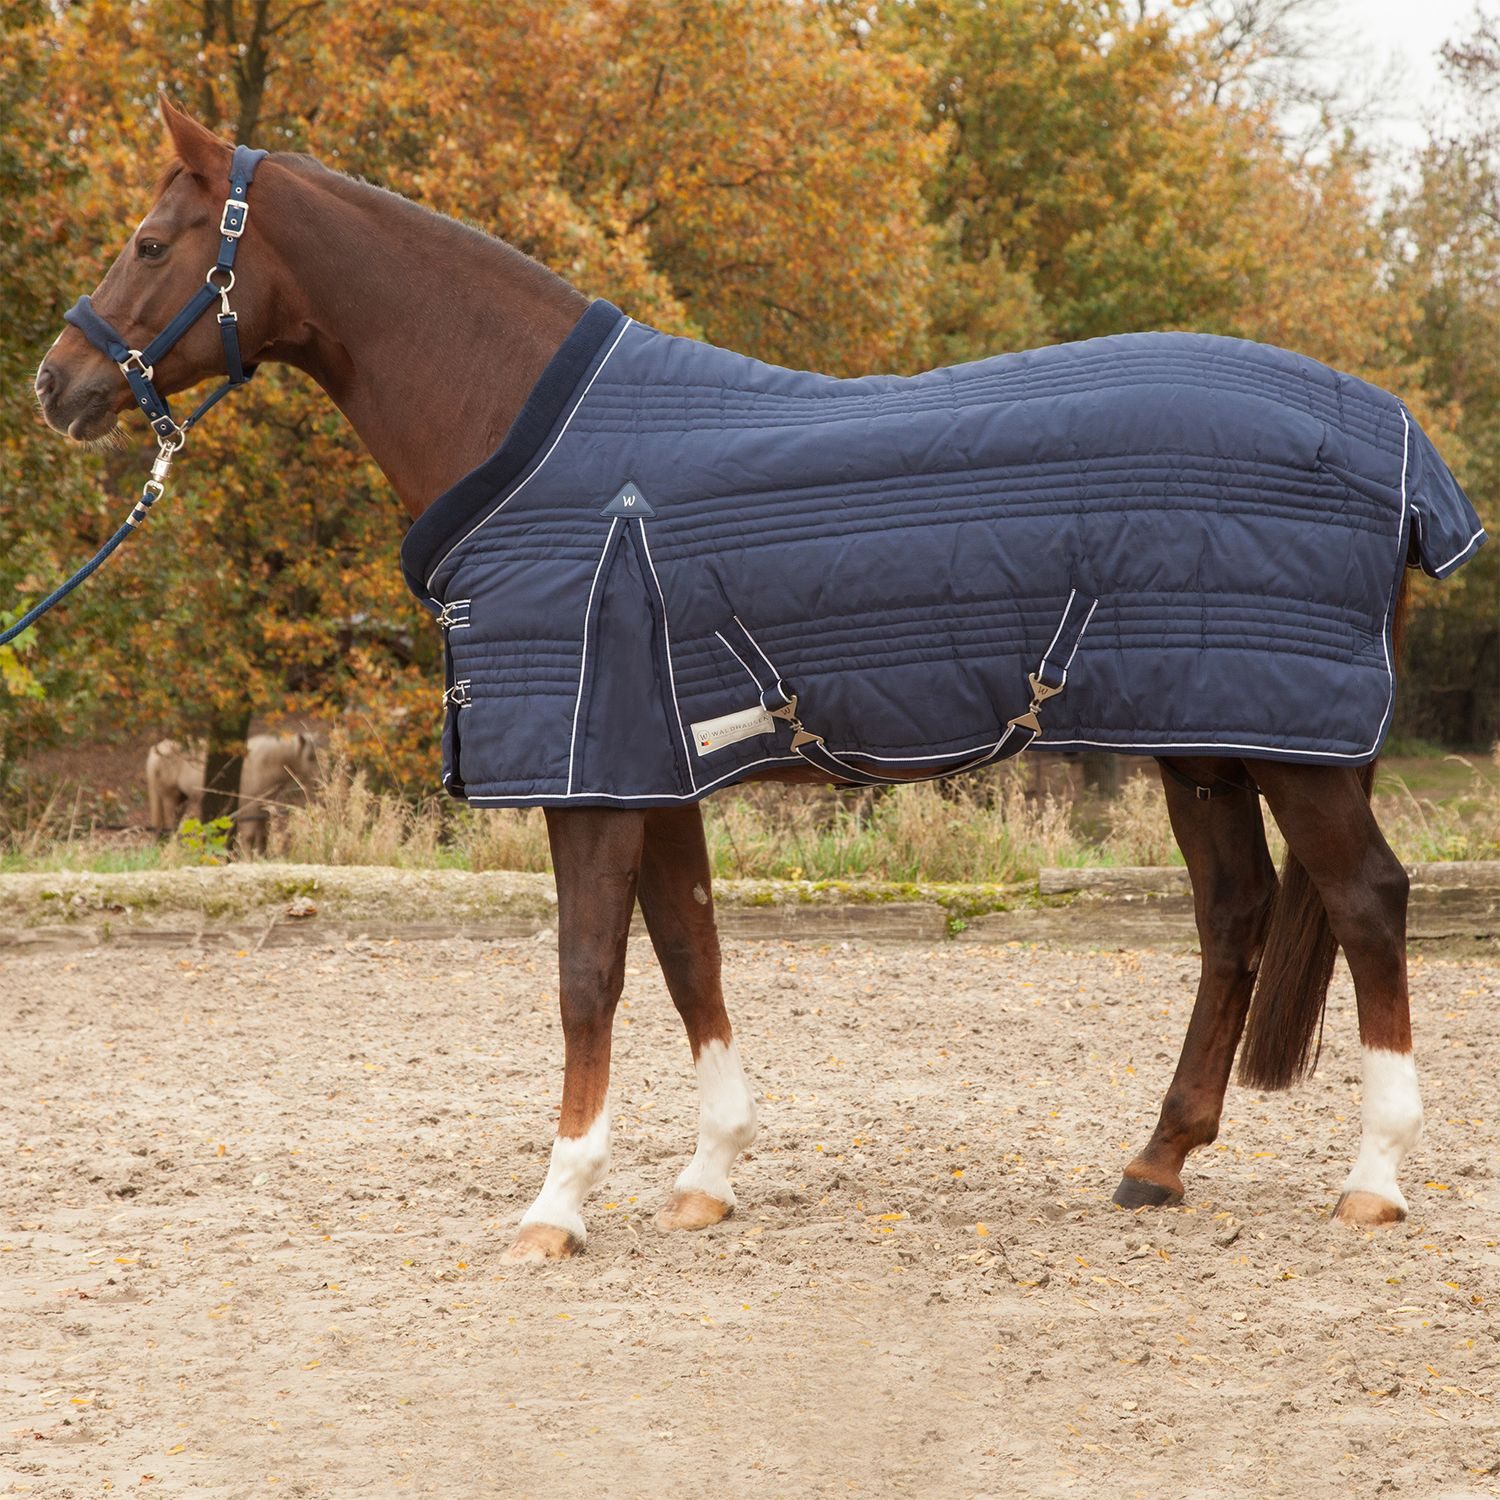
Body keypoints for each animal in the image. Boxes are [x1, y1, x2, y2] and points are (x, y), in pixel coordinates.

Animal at [33, 99, 1461, 1261]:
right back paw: (1157, 1161)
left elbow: (589, 978)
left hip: (1292, 750)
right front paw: (706, 1179)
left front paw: (558, 1204)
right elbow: (691, 955)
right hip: (1207, 739)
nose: (60, 383)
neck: (540, 444)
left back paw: (1375, 1178)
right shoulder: (649, 771)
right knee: (1235, 914)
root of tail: (1395, 436)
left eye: (150, 244)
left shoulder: (594, 780)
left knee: (1367, 902)